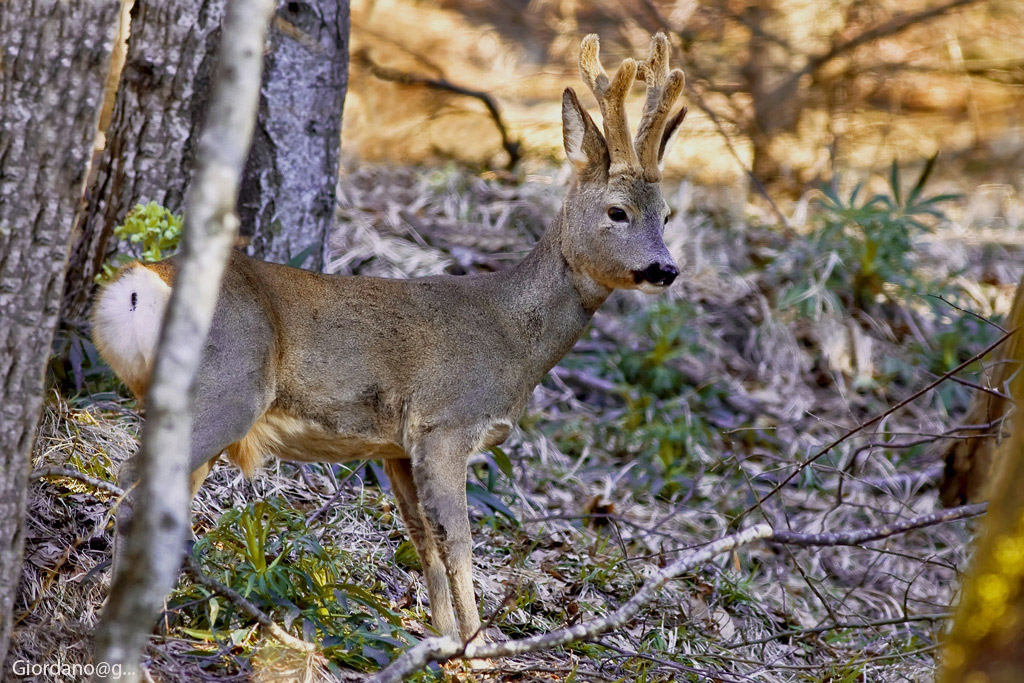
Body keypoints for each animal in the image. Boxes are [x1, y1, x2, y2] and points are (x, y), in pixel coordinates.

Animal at [94, 34, 688, 643]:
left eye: (666, 215)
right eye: (618, 211)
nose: (665, 269)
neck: (514, 339)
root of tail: (139, 284)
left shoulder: (398, 446)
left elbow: (424, 541)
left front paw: (443, 641)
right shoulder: (445, 423)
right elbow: (461, 543)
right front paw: (477, 647)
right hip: (227, 389)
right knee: (131, 487)